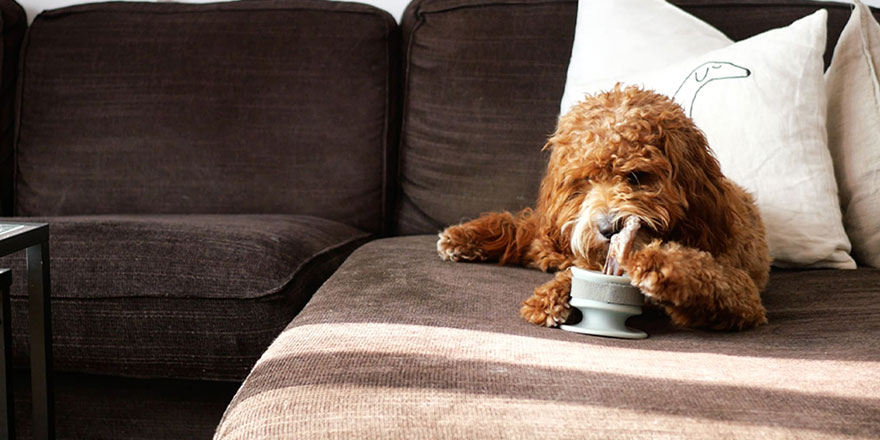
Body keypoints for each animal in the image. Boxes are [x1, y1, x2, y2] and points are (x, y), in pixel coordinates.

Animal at [438, 85, 768, 330]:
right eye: (585, 180)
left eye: (636, 176)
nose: (609, 229)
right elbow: (576, 275)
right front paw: (551, 297)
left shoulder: (745, 296)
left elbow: (711, 278)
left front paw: (659, 265)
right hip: (555, 240)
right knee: (522, 228)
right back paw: (462, 237)